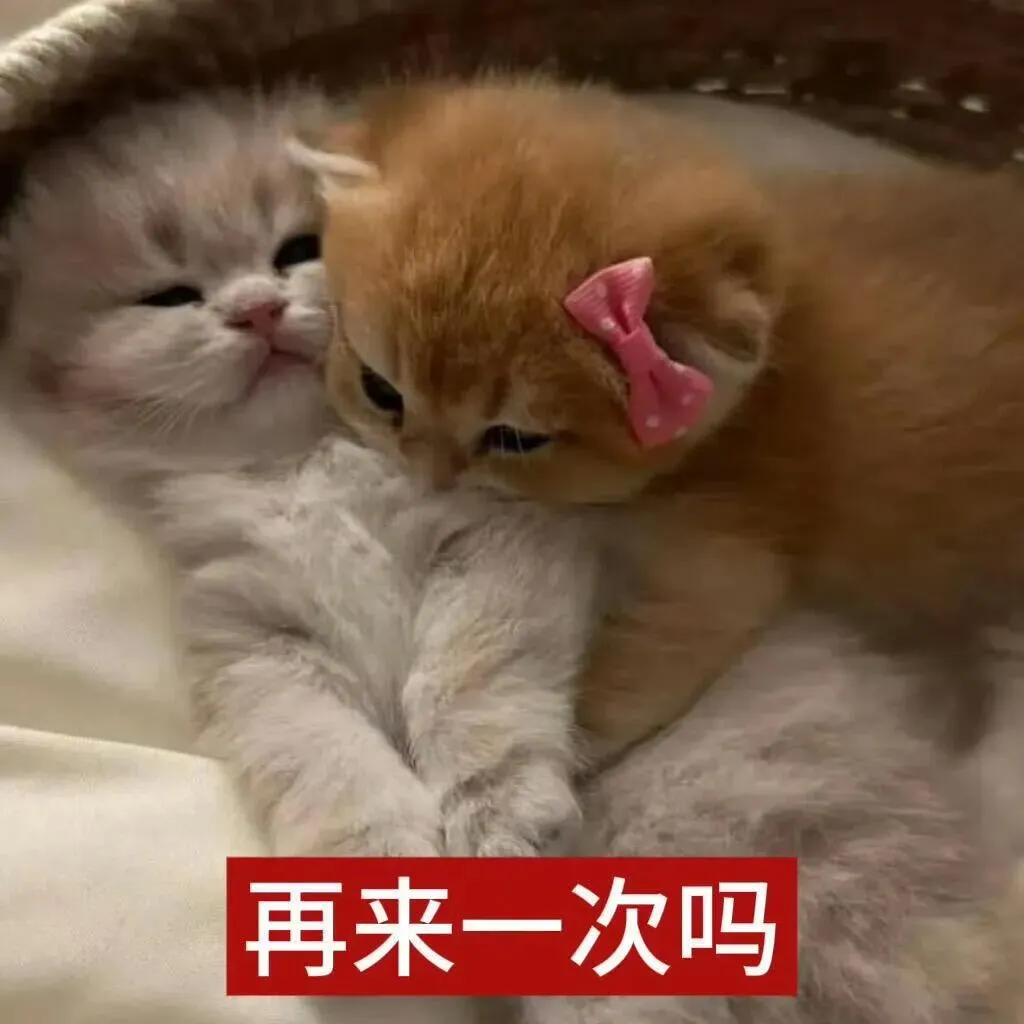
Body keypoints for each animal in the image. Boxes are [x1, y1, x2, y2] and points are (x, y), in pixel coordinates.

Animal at [0, 88, 600, 859]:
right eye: (168, 296)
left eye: (297, 250)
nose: (258, 309)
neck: (309, 460)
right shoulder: (254, 640)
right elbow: (322, 753)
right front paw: (375, 856)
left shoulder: (494, 539)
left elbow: (462, 685)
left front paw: (498, 810)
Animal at [293, 73, 1024, 758]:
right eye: (380, 390)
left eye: (515, 439)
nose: (430, 476)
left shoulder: (736, 553)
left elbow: (640, 671)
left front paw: (566, 742)